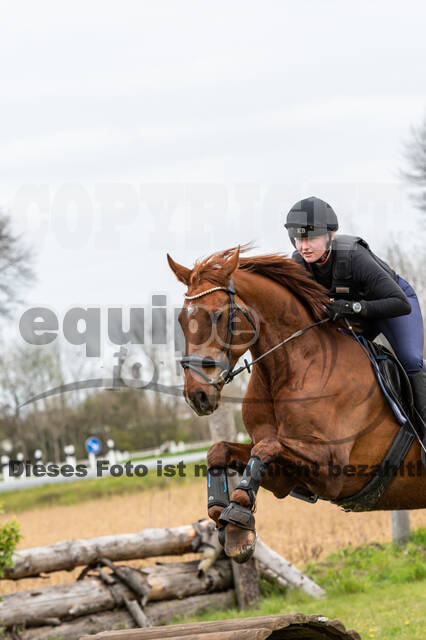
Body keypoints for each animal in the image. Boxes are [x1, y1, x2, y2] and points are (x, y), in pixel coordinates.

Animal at [167, 244, 426, 560]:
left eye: (218, 316)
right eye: (182, 320)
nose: (198, 395)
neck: (291, 366)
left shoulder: (333, 471)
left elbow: (267, 447)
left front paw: (238, 520)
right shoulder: (284, 478)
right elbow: (220, 451)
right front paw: (224, 516)